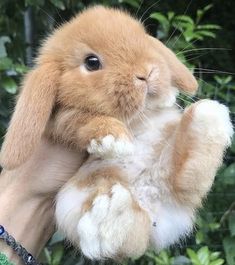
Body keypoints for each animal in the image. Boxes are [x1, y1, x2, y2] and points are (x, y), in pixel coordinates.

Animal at [0, 5, 233, 260]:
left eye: (142, 37)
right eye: (91, 62)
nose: (146, 73)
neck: (135, 119)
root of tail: (149, 198)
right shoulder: (60, 120)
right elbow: (77, 120)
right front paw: (113, 140)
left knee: (182, 180)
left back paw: (209, 117)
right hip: (73, 200)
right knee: (129, 236)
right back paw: (111, 213)